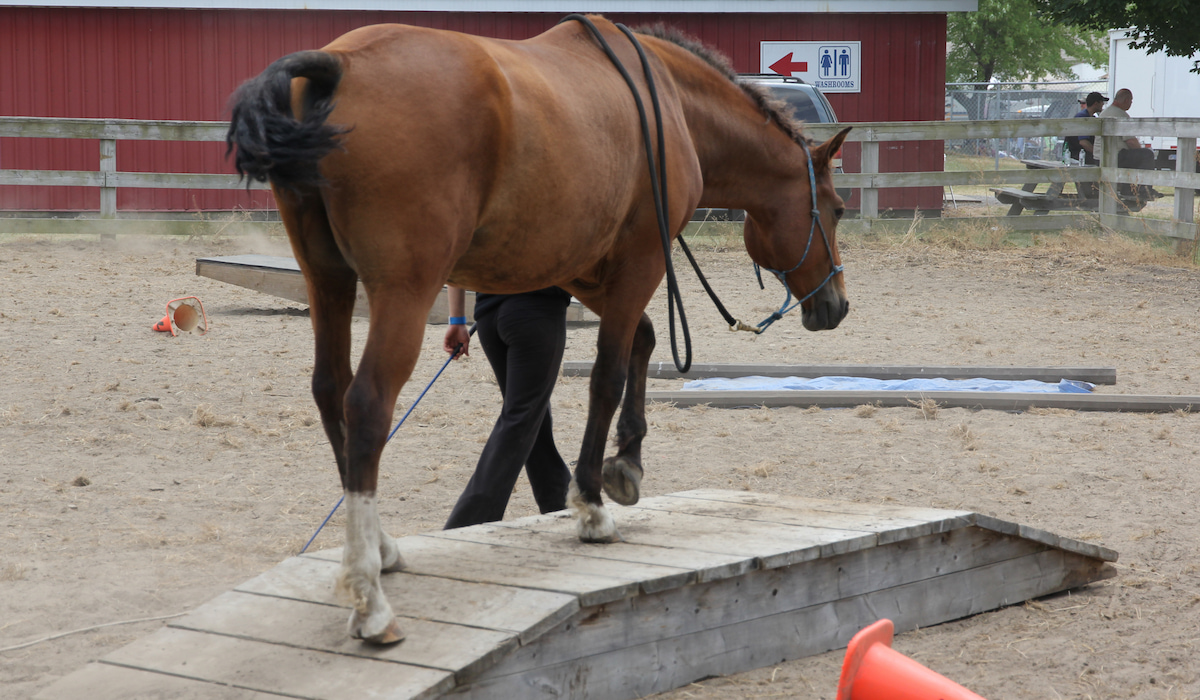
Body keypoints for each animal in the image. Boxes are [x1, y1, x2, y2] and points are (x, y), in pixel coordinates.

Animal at [226, 15, 850, 645]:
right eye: (838, 208)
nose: (838, 305)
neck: (670, 101)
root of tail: (342, 65)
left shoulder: (579, 267)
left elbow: (644, 340)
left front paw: (626, 463)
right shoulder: (641, 260)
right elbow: (607, 374)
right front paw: (592, 503)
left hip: (327, 279)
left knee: (330, 390)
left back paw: (379, 548)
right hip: (402, 290)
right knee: (366, 403)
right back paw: (369, 597)